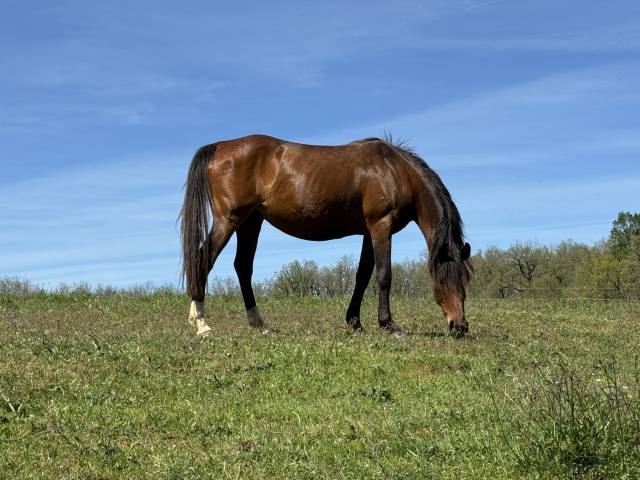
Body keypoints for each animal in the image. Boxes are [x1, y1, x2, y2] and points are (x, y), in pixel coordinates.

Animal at [180, 134, 470, 338]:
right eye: (445, 280)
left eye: (465, 280)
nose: (460, 326)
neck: (394, 170)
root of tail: (219, 146)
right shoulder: (380, 226)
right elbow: (384, 275)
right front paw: (389, 325)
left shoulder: (368, 232)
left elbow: (362, 276)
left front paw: (355, 322)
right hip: (229, 219)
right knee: (203, 258)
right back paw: (202, 324)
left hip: (251, 221)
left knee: (242, 266)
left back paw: (260, 324)